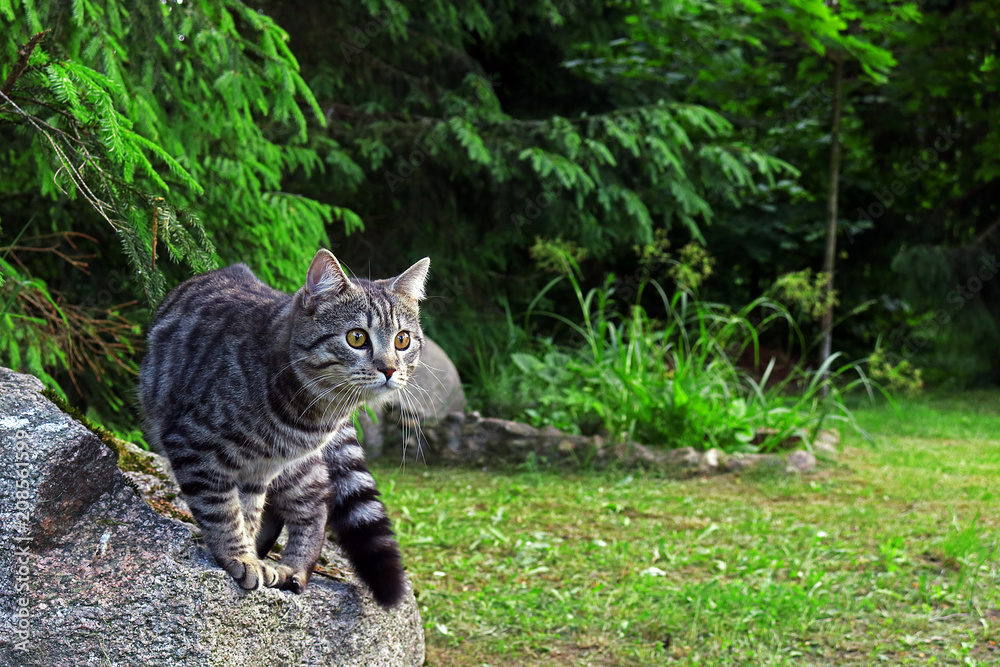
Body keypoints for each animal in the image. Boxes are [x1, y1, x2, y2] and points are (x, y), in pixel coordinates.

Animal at [139, 248, 428, 608]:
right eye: (357, 337)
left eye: (403, 340)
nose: (389, 369)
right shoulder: (199, 447)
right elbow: (225, 510)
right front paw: (243, 555)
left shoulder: (259, 469)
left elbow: (242, 512)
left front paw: (245, 555)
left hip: (297, 469)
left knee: (315, 504)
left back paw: (294, 568)